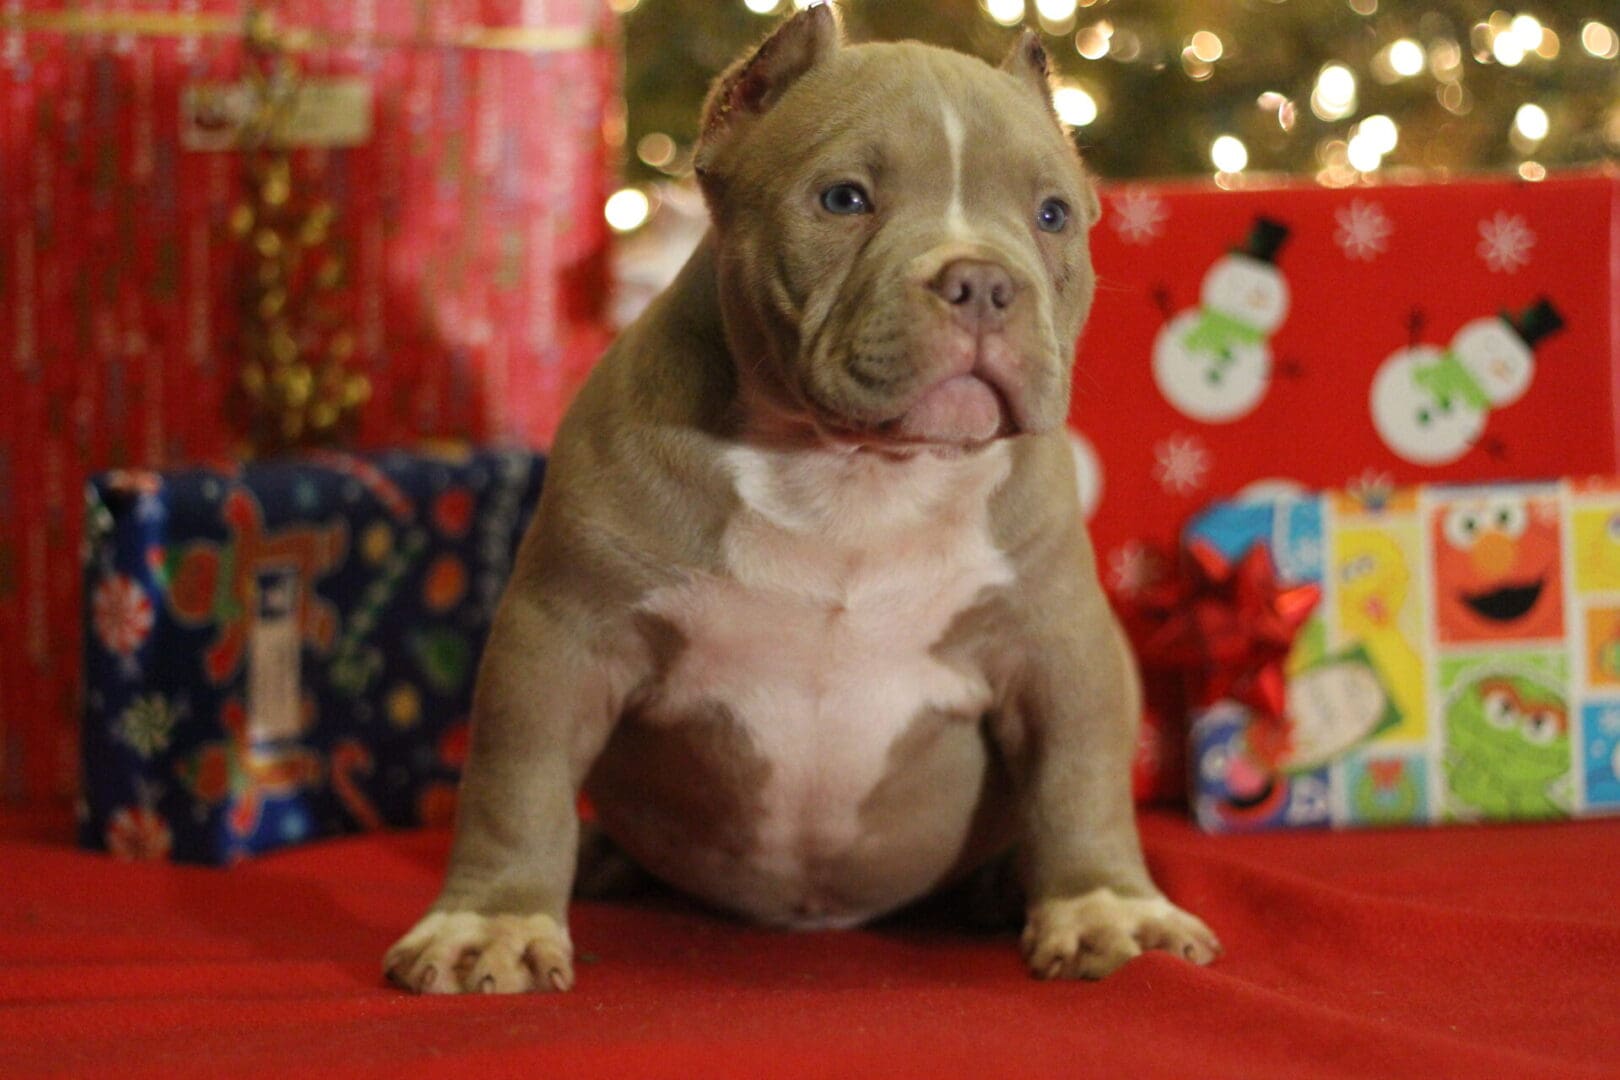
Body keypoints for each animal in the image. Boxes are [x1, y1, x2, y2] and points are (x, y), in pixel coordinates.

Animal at [388, 2, 1218, 997]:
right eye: (844, 200)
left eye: (1052, 214)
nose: (983, 281)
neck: (856, 472)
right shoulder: (560, 636)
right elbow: (517, 785)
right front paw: (494, 923)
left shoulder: (1059, 645)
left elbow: (1081, 781)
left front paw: (1106, 908)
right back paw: (600, 861)